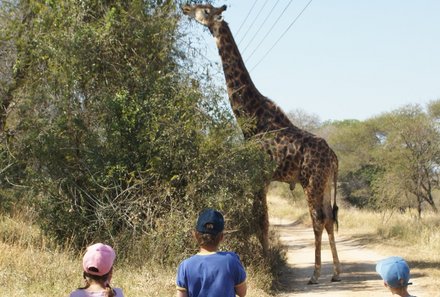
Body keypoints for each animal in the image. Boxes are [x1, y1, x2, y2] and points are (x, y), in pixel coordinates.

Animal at [182, 4, 340, 282]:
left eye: (205, 10)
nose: (185, 7)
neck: (251, 118)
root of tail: (334, 157)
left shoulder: (259, 177)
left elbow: (261, 221)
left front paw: (266, 264)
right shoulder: (263, 179)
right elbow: (261, 221)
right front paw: (266, 261)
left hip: (312, 181)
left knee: (317, 219)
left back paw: (315, 274)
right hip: (326, 182)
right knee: (330, 219)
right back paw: (337, 273)